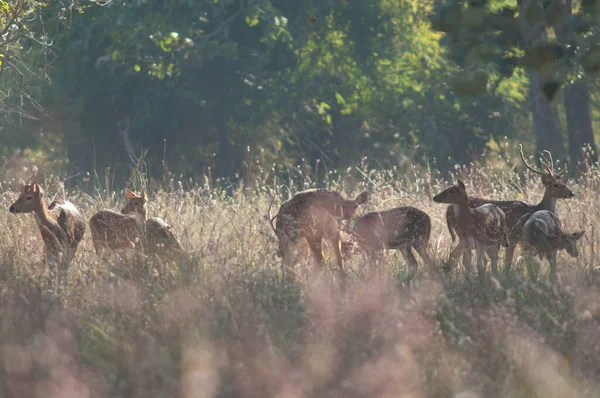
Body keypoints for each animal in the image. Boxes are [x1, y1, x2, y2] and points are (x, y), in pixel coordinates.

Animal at [446, 145, 572, 274]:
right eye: (555, 185)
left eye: (563, 182)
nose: (570, 193)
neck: (536, 208)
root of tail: (448, 209)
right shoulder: (513, 237)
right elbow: (509, 263)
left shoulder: (522, 242)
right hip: (464, 234)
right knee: (456, 257)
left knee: (455, 257)